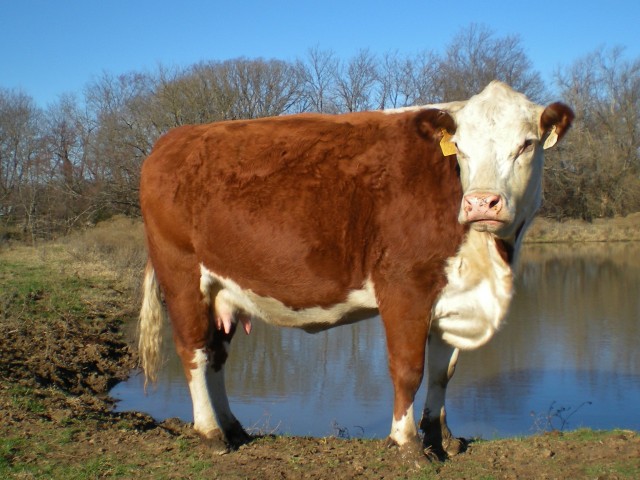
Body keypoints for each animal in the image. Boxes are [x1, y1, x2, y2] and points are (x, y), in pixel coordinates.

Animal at [138, 81, 572, 458]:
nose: (482, 203)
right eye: (461, 149)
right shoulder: (404, 285)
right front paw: (407, 444)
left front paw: (442, 438)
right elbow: (408, 369)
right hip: (182, 274)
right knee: (192, 350)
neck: (489, 264)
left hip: (222, 290)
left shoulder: (453, 296)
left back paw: (233, 428)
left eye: (526, 144)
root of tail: (171, 140)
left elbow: (441, 373)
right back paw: (210, 433)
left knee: (215, 355)